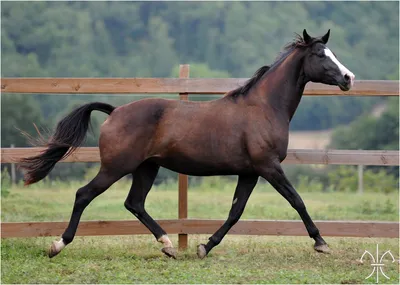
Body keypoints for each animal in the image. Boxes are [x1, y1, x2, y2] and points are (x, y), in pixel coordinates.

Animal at [20, 28, 354, 258]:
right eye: (321, 55)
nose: (349, 78)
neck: (264, 107)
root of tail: (114, 111)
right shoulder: (268, 167)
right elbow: (297, 200)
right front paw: (321, 243)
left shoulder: (250, 172)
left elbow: (235, 212)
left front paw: (205, 247)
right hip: (116, 167)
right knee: (83, 195)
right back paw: (57, 245)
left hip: (147, 168)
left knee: (134, 203)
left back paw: (168, 245)